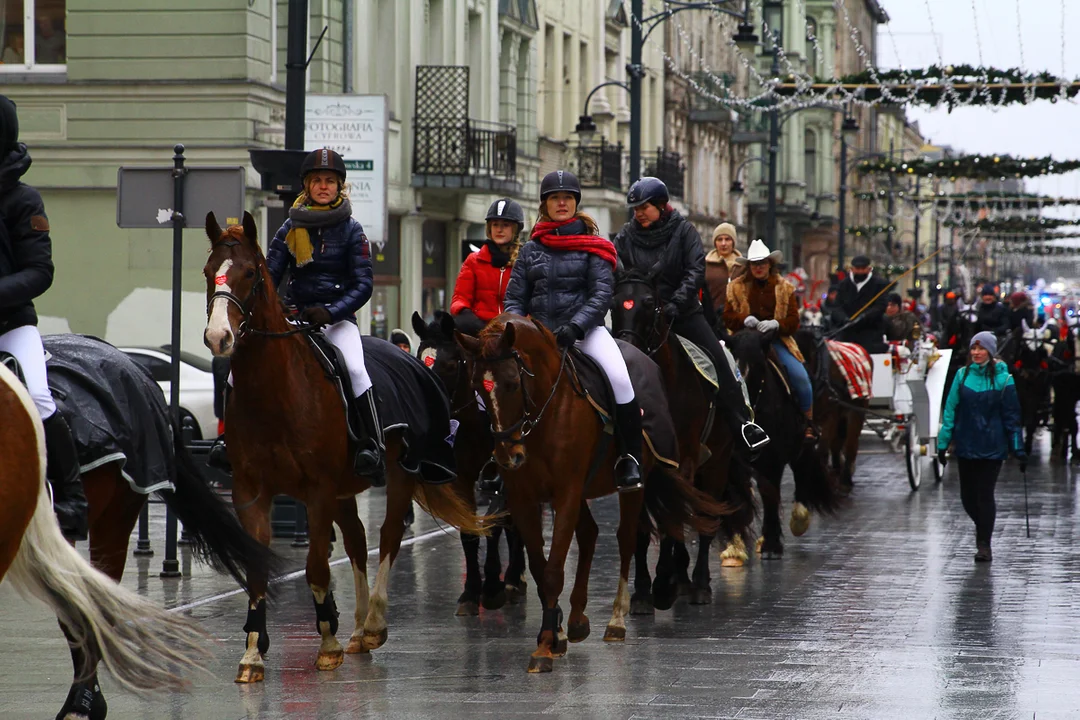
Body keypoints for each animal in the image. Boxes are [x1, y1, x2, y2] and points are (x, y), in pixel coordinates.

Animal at [200, 212, 488, 682]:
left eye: (250, 274)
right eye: (209, 272)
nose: (218, 337)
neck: (276, 391)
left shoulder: (317, 489)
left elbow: (317, 564)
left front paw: (327, 645)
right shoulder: (250, 488)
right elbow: (258, 565)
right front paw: (254, 653)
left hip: (398, 473)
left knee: (387, 536)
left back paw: (372, 624)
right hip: (344, 488)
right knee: (355, 540)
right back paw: (355, 629)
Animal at [451, 317, 721, 673]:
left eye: (511, 383)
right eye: (478, 389)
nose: (508, 456)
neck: (546, 413)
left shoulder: (566, 493)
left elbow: (553, 571)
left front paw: (545, 645)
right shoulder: (524, 499)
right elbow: (540, 569)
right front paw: (554, 633)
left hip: (634, 483)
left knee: (626, 538)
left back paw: (618, 619)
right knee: (591, 534)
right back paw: (577, 620)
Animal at [613, 268, 756, 608]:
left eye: (649, 303)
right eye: (613, 302)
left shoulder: (684, 460)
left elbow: (674, 521)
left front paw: (663, 584)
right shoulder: (641, 465)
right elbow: (642, 527)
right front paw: (643, 591)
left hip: (717, 462)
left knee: (706, 516)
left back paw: (699, 583)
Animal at [725, 330, 842, 561]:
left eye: (759, 366)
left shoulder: (773, 459)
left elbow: (769, 492)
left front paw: (771, 544)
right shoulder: (734, 461)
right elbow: (738, 497)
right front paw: (735, 547)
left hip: (803, 445)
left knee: (802, 470)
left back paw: (799, 520)